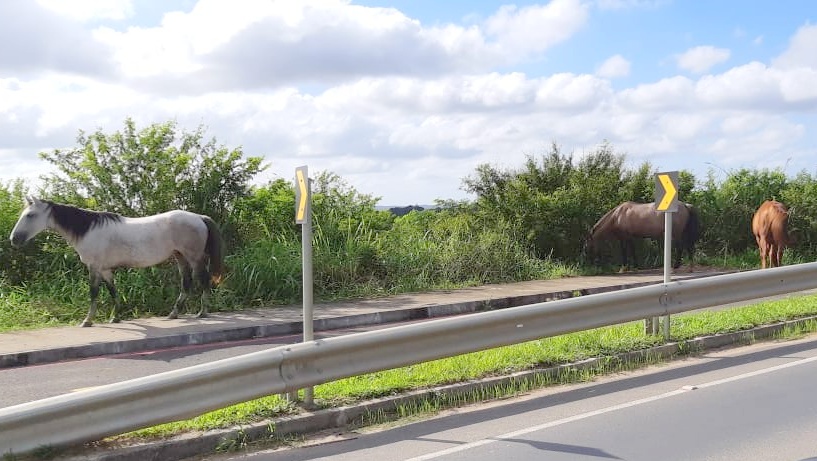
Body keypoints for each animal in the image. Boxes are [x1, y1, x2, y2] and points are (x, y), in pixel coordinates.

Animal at [10, 196, 226, 326]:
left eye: (30, 215)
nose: (14, 239)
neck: (88, 230)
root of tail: (199, 217)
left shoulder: (94, 268)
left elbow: (94, 293)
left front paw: (87, 321)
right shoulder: (105, 270)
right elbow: (113, 292)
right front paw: (115, 318)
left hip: (194, 257)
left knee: (203, 280)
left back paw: (202, 312)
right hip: (180, 256)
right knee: (186, 282)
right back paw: (174, 313)